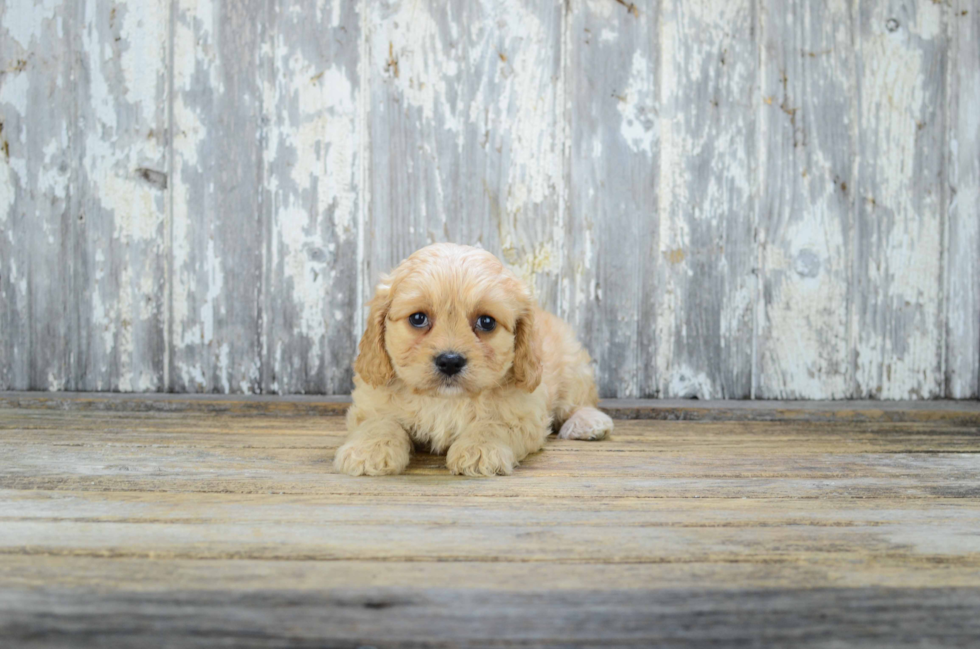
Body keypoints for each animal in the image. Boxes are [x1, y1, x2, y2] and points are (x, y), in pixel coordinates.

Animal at [336, 243, 612, 476]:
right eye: (418, 318)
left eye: (486, 322)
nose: (450, 361)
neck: (446, 400)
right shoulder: (372, 402)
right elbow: (380, 422)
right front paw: (368, 450)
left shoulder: (523, 412)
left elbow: (492, 425)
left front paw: (479, 450)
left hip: (572, 365)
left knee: (580, 400)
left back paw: (588, 422)